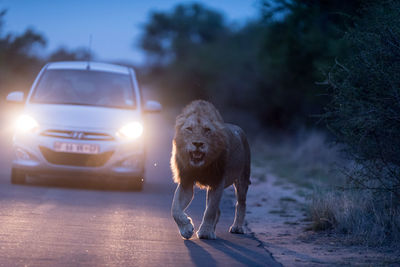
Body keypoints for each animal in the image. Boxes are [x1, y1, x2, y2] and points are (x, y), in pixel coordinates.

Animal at [170, 100, 250, 241]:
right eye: (189, 129)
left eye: (207, 130)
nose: (197, 143)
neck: (200, 166)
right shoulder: (186, 182)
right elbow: (175, 208)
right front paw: (186, 229)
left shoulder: (217, 181)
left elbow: (210, 210)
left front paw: (205, 233)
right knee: (218, 209)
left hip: (242, 179)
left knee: (241, 203)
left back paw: (237, 227)